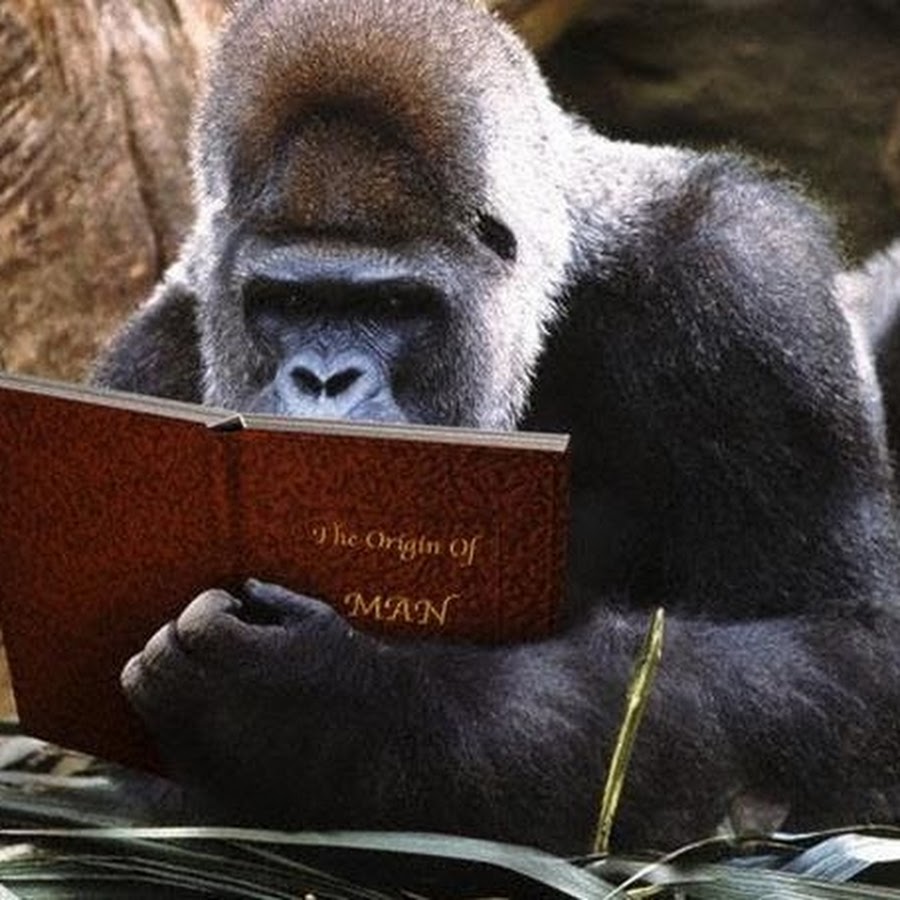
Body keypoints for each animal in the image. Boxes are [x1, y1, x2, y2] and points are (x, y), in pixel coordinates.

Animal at [91, 0, 900, 853]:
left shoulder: (746, 288)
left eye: (394, 305)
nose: (323, 380)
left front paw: (323, 703)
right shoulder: (158, 354)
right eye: (285, 302)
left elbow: (848, 649)